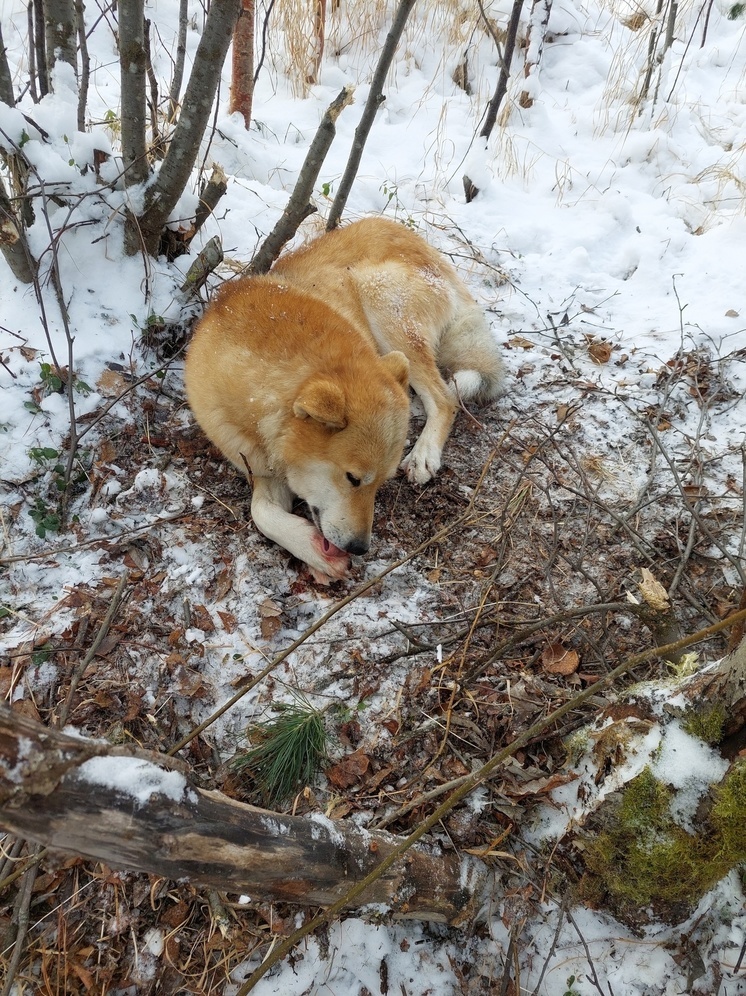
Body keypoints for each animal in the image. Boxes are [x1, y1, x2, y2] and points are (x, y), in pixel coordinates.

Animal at [184, 214, 502, 580]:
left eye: (380, 484)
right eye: (352, 479)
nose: (360, 548)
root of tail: (418, 242)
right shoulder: (261, 467)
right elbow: (260, 513)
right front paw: (311, 549)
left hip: (383, 304)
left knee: (445, 397)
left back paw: (424, 454)